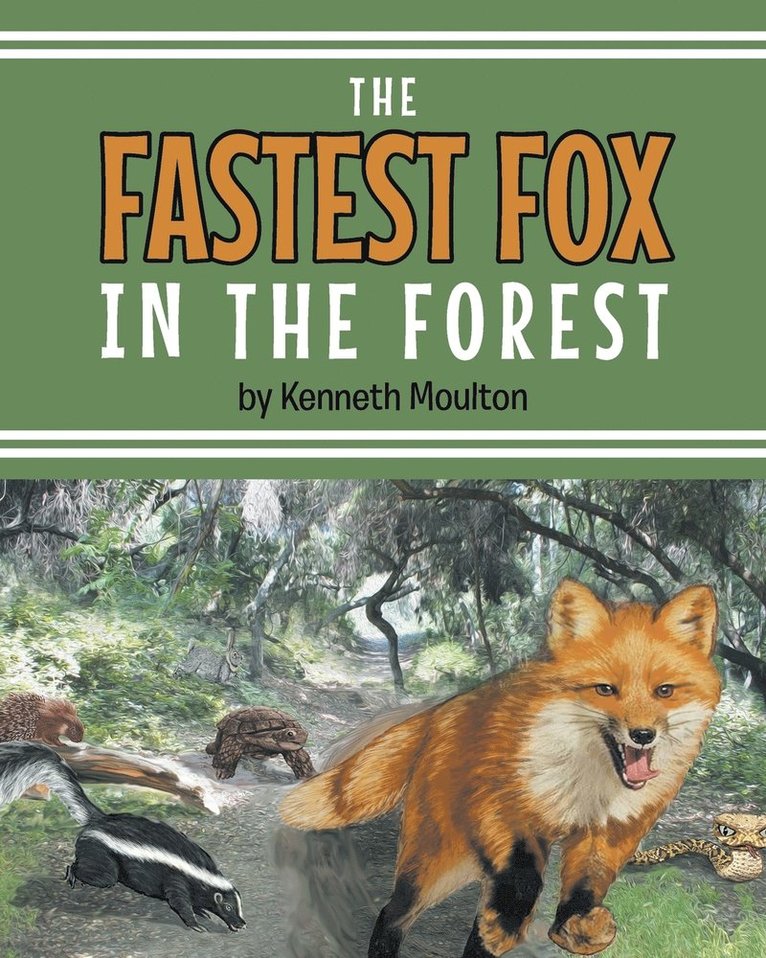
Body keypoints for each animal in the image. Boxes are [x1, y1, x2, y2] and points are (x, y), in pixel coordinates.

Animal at [280, 579, 721, 957]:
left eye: (664, 691)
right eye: (605, 689)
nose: (643, 734)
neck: (586, 783)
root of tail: (443, 710)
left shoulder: (610, 833)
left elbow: (584, 889)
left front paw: (574, 926)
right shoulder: (500, 806)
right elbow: (522, 880)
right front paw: (508, 923)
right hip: (441, 862)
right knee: (393, 912)